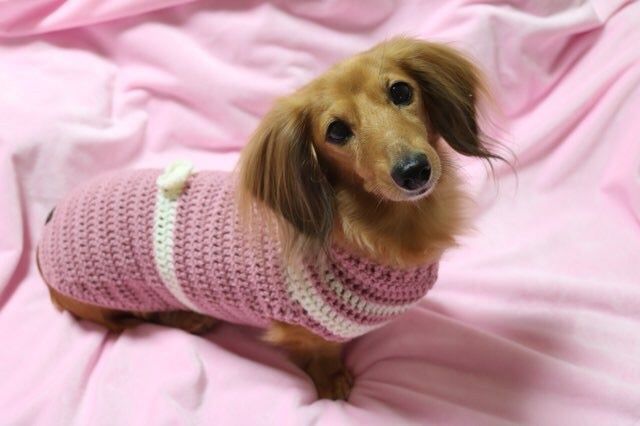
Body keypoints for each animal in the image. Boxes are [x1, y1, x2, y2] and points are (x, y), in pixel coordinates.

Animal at [37, 36, 502, 400]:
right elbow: (320, 351)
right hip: (111, 303)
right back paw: (187, 317)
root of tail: (49, 227)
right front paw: (332, 381)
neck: (366, 225)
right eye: (336, 132)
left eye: (402, 92)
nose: (414, 171)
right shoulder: (301, 327)